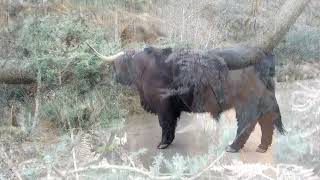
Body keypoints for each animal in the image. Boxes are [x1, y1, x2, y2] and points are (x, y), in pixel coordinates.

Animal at [87, 43, 284, 152]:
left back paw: (233, 147)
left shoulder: (163, 106)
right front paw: (168, 141)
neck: (145, 69)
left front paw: (163, 144)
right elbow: (171, 125)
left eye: (118, 65)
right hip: (262, 101)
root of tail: (263, 53)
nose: (115, 78)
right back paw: (262, 147)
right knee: (266, 122)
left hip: (247, 104)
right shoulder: (172, 108)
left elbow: (165, 124)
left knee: (247, 123)